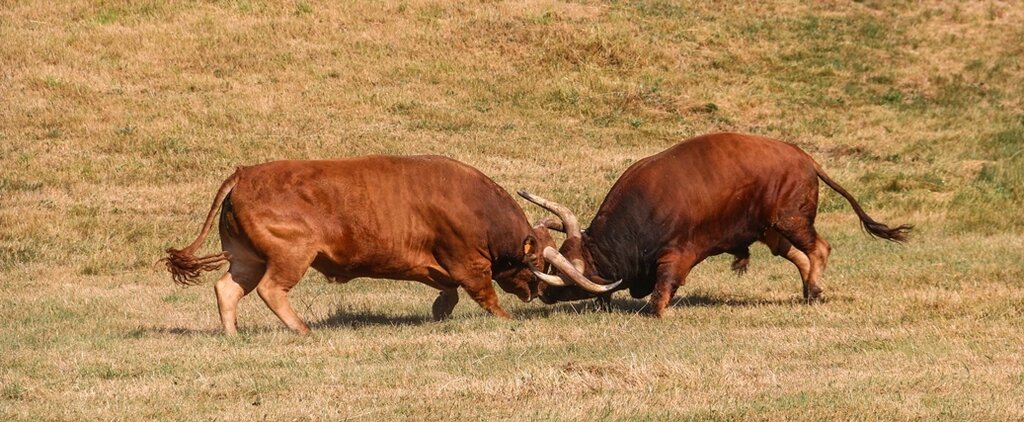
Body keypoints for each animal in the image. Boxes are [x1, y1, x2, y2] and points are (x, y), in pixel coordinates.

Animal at [161, 155, 552, 335]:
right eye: (538, 263)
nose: (538, 292)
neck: (476, 205)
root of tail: (245, 174)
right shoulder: (468, 262)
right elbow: (484, 294)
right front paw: (509, 319)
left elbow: (449, 293)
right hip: (290, 256)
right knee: (271, 290)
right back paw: (303, 329)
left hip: (246, 258)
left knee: (227, 288)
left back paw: (233, 334)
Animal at [524, 133, 909, 315]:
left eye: (561, 279)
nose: (542, 293)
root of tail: (805, 158)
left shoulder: (676, 255)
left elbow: (662, 290)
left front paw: (656, 312)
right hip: (771, 231)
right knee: (800, 256)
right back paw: (807, 291)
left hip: (791, 220)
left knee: (820, 248)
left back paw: (815, 290)